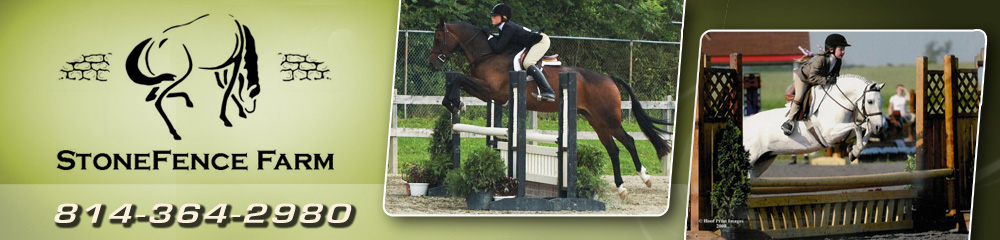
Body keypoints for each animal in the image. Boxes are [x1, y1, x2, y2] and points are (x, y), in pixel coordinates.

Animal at [430, 21, 672, 197]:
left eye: (438, 38)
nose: (433, 65)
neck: (488, 54)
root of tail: (609, 78)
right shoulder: (486, 93)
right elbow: (457, 82)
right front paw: (453, 103)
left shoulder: (492, 91)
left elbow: (459, 79)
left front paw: (456, 103)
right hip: (596, 121)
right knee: (613, 149)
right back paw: (621, 187)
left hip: (608, 119)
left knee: (628, 141)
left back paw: (644, 178)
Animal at [744, 75, 892, 178]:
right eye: (870, 101)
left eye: (882, 101)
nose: (880, 126)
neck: (837, 103)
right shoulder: (829, 135)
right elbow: (857, 128)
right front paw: (854, 150)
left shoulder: (844, 130)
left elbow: (864, 128)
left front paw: (853, 150)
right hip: (751, 157)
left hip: (763, 160)